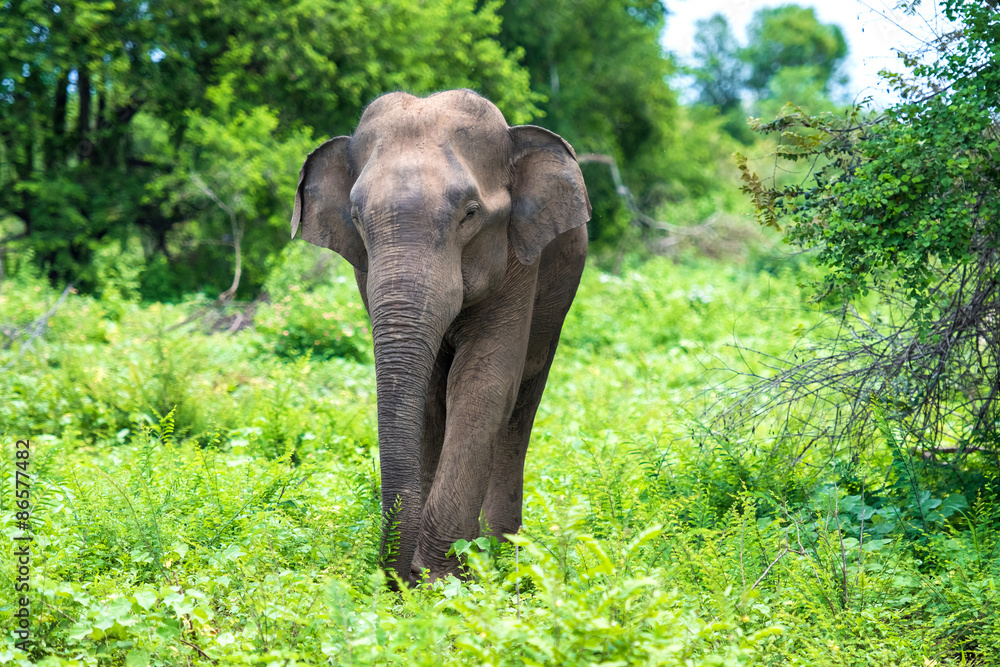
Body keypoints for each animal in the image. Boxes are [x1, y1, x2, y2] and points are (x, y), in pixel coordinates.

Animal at [290, 89, 590, 586]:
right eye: (355, 217)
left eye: (470, 214)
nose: (393, 582)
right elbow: (430, 396)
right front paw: (429, 575)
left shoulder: (519, 264)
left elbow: (482, 384)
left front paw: (439, 578)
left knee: (522, 400)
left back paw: (502, 553)